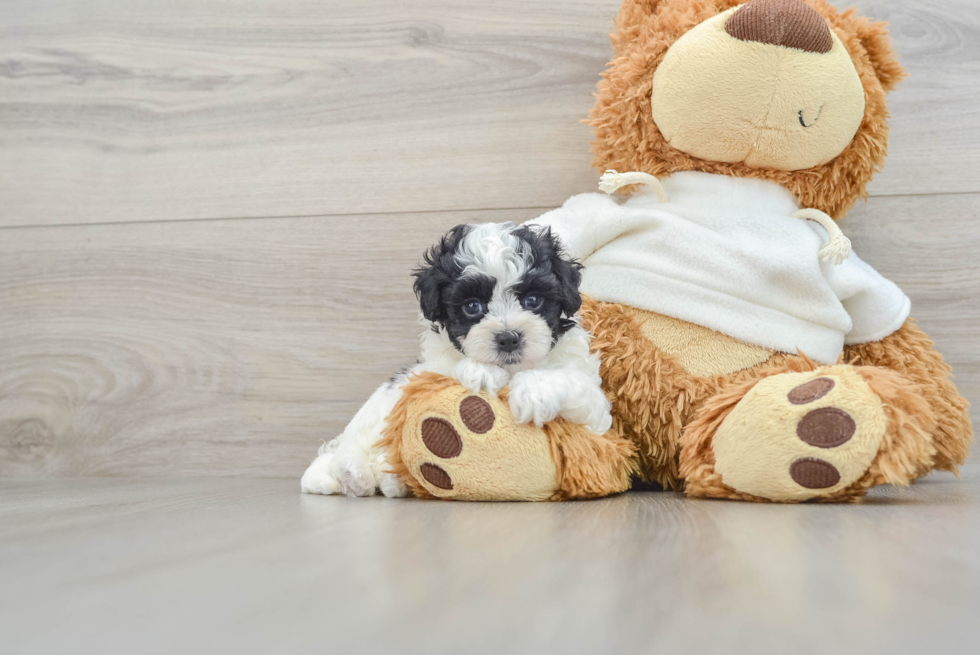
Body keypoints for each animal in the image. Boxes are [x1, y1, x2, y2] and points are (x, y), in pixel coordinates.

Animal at [298, 223, 612, 500]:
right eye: (472, 306)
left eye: (533, 300)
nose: (508, 338)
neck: (513, 370)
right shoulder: (431, 370)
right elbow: (449, 372)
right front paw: (483, 372)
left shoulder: (597, 417)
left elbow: (573, 386)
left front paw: (535, 391)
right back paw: (353, 473)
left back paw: (383, 480)